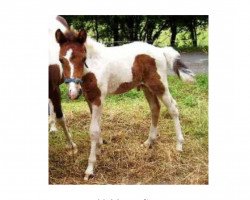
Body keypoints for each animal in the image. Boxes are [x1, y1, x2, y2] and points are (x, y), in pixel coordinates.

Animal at [54, 19, 195, 181]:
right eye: (61, 60)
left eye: (83, 59)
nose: (73, 93)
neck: (94, 66)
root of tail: (160, 51)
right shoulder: (89, 99)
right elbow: (98, 127)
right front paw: (99, 149)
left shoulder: (98, 99)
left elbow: (93, 131)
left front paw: (90, 168)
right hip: (146, 87)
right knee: (155, 108)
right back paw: (149, 142)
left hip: (159, 86)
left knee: (173, 108)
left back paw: (179, 145)